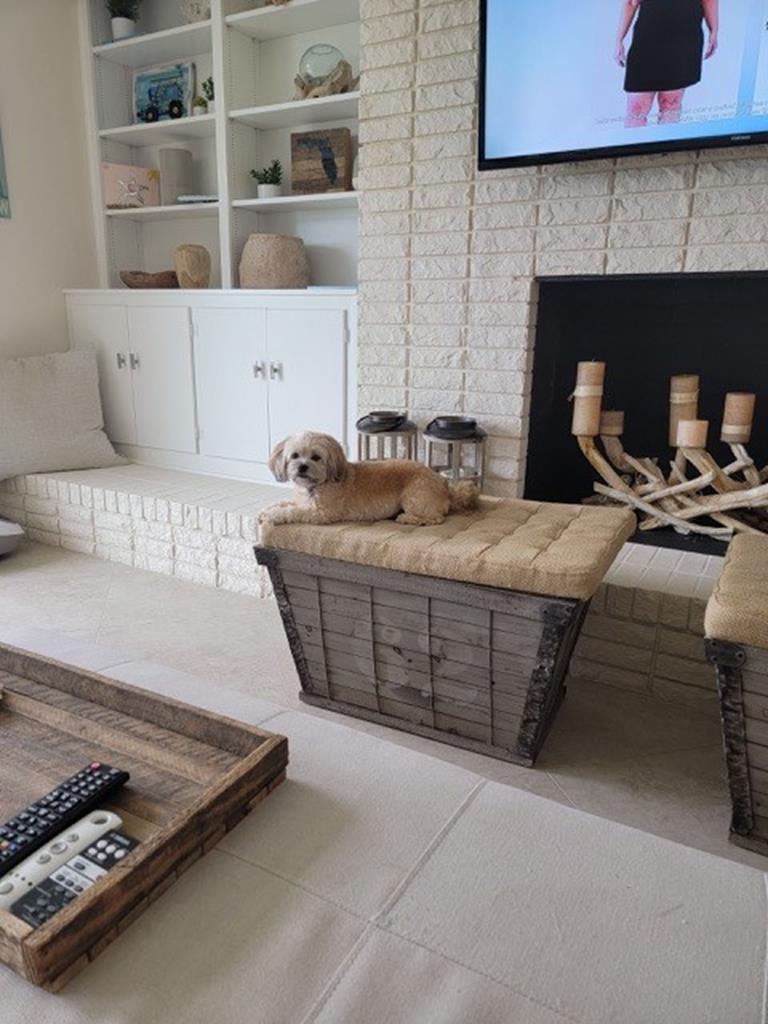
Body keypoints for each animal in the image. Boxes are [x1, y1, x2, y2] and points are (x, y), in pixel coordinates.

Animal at [258, 431, 479, 528]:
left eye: (316, 457)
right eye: (295, 455)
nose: (302, 467)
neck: (315, 486)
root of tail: (444, 484)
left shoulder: (321, 514)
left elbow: (291, 511)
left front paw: (272, 515)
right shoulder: (302, 501)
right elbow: (284, 503)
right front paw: (267, 510)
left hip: (415, 497)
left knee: (435, 518)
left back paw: (407, 518)